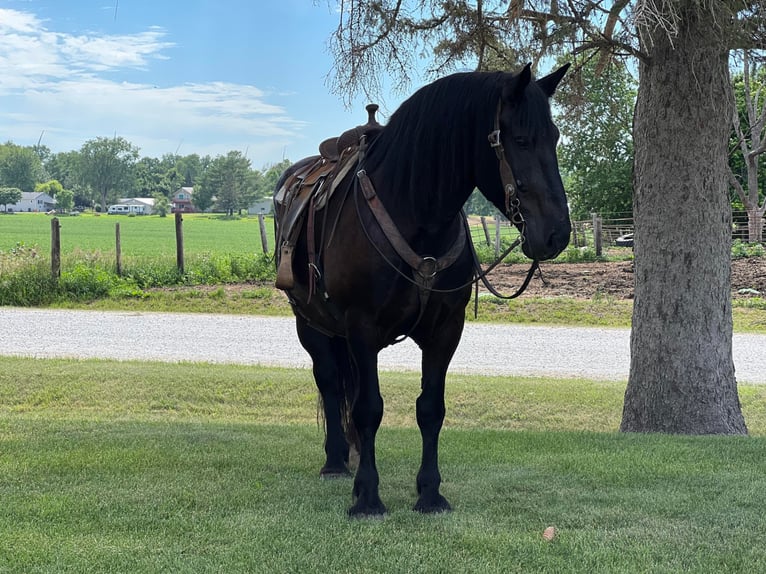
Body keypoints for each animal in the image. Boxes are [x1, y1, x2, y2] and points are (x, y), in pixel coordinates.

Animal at [274, 63, 568, 516]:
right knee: (329, 381)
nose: (557, 233)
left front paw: (429, 492)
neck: (415, 213)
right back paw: (336, 461)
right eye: (520, 140)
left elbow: (430, 408)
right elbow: (368, 408)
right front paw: (368, 496)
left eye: (552, 137)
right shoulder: (361, 327)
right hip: (310, 323)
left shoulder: (445, 329)